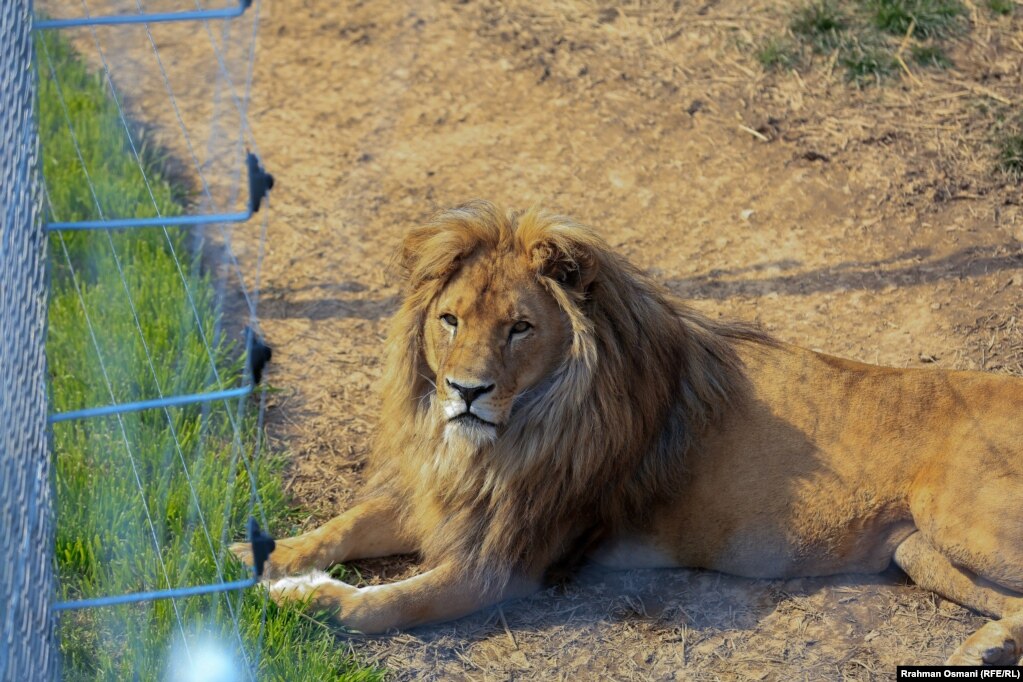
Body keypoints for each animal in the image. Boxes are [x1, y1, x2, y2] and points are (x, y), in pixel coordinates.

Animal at [232, 200, 1023, 662]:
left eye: (520, 328)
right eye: (449, 320)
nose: (465, 392)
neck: (507, 438)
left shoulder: (504, 562)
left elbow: (384, 604)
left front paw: (301, 598)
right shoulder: (448, 500)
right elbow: (344, 527)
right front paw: (260, 554)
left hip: (956, 521)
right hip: (922, 552)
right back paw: (985, 648)